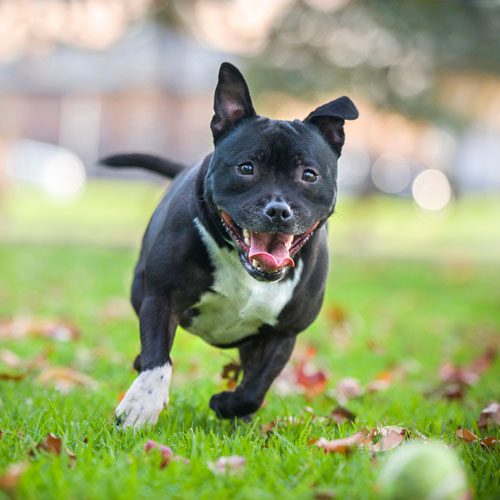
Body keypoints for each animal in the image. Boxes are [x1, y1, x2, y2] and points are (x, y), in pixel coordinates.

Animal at [101, 62, 358, 430]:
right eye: (246, 168)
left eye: (309, 175)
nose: (278, 210)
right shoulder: (161, 298)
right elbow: (158, 359)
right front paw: (142, 404)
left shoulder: (283, 334)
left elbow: (254, 388)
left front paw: (227, 405)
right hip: (141, 288)